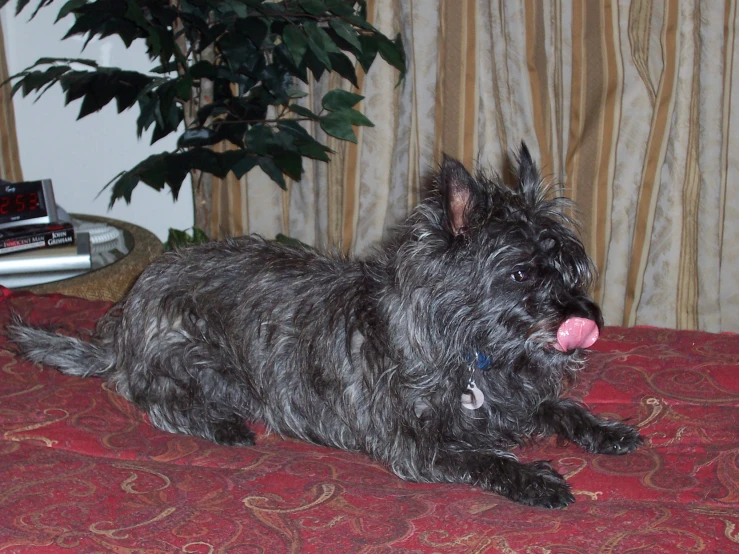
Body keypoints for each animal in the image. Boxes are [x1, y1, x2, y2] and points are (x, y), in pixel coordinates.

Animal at [7, 142, 640, 504]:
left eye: (571, 267)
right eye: (521, 273)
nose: (590, 319)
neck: (470, 352)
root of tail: (127, 313)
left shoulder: (517, 400)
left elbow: (559, 406)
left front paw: (605, 430)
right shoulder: (414, 445)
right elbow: (481, 457)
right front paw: (535, 479)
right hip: (192, 355)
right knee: (156, 398)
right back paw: (223, 424)